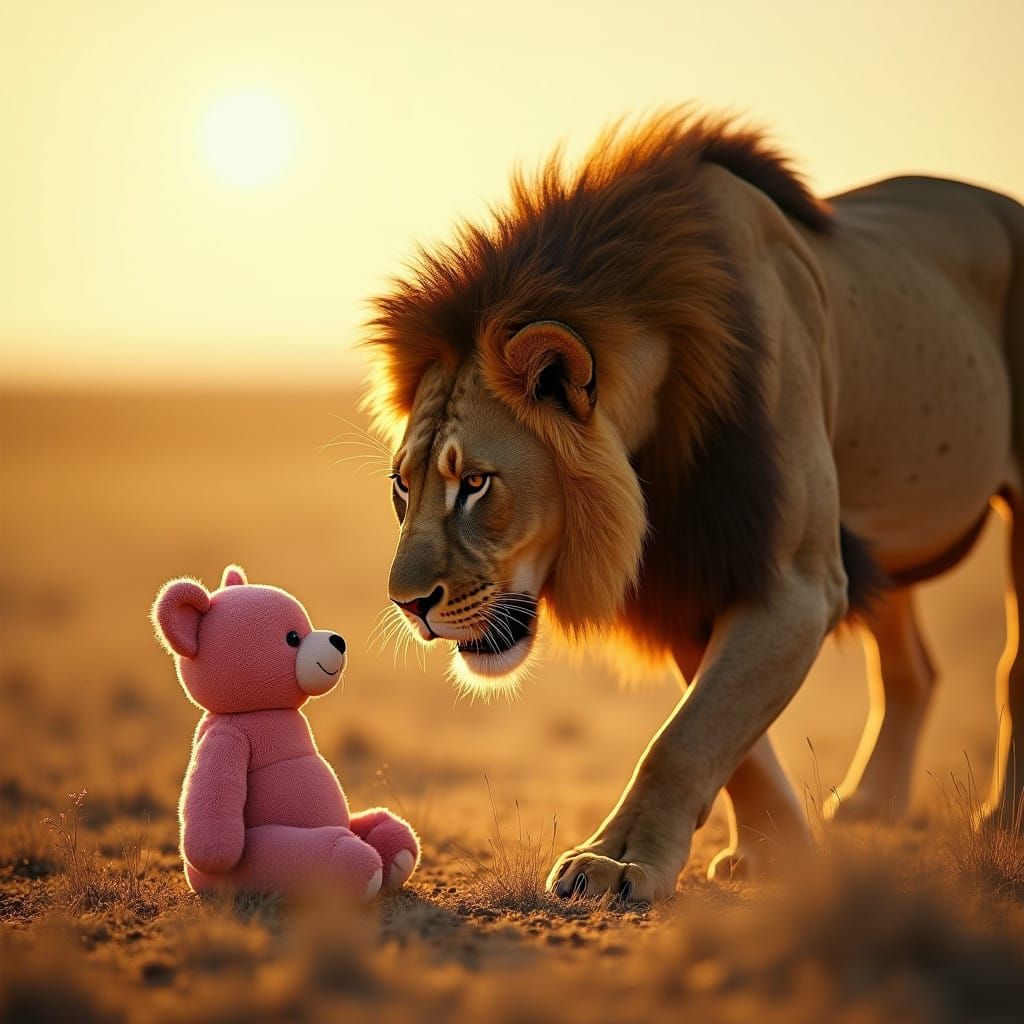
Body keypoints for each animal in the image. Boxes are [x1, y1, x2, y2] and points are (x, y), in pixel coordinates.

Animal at [362, 111, 1024, 901]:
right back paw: (870, 809)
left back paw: (1002, 824)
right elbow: (731, 741)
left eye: (476, 483)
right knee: (911, 670)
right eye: (404, 485)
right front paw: (777, 853)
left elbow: (684, 736)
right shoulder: (689, 573)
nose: (408, 605)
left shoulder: (797, 580)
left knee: (1010, 668)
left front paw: (614, 862)